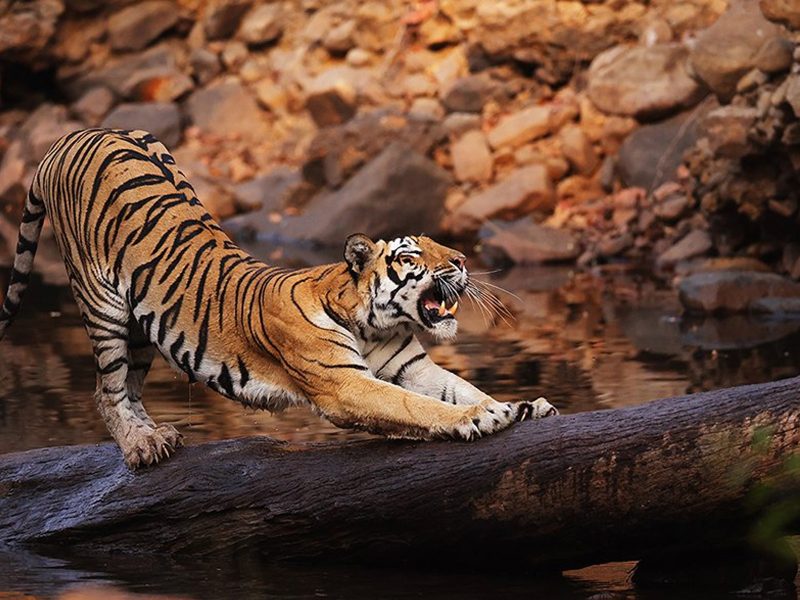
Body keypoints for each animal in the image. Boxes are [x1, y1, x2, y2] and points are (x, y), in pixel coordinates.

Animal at [0, 128, 558, 469]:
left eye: (441, 245)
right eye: (414, 253)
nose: (461, 260)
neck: (374, 321)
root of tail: (73, 135)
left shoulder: (412, 367)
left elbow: (455, 388)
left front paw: (524, 405)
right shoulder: (344, 385)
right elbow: (416, 407)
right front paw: (479, 419)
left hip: (143, 322)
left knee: (125, 388)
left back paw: (155, 439)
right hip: (104, 307)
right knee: (107, 388)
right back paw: (141, 447)